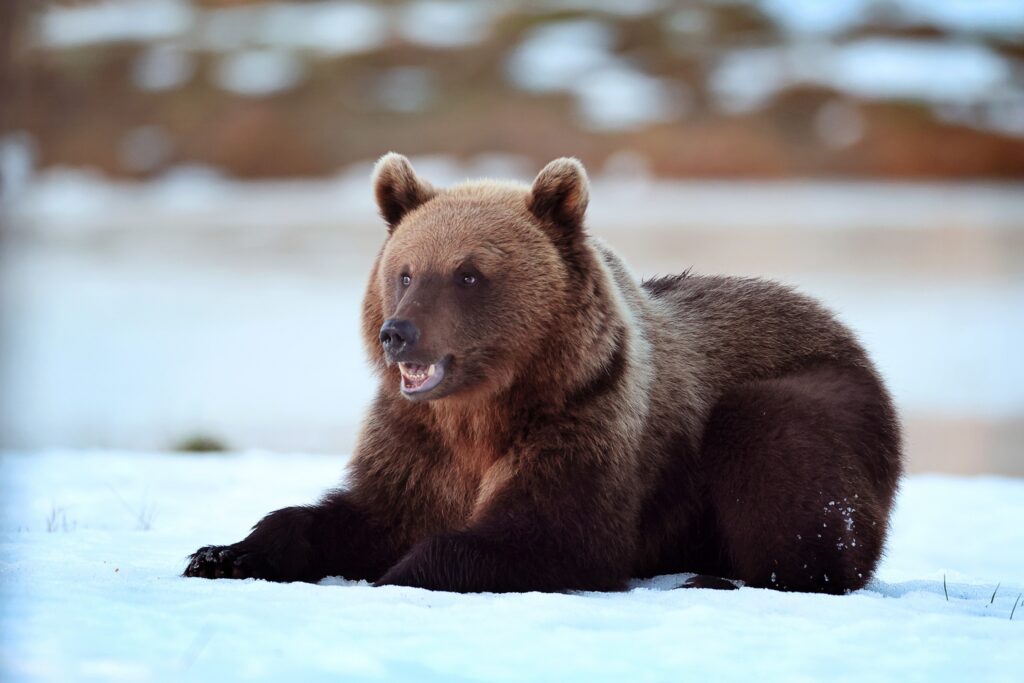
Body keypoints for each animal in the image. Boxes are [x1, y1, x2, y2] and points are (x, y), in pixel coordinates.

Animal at [184, 154, 903, 594]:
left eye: (469, 273)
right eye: (405, 271)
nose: (398, 333)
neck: (483, 410)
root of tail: (846, 331)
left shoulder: (583, 424)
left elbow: (547, 534)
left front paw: (399, 573)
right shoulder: (417, 444)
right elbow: (361, 513)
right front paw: (222, 554)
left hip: (815, 395)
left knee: (778, 454)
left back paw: (728, 574)